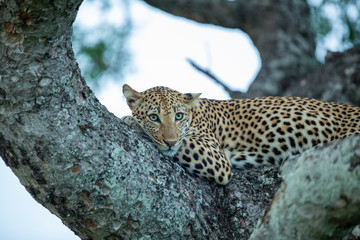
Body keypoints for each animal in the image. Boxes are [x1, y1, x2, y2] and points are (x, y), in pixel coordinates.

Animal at [121, 83, 360, 185]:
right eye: (154, 117)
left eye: (178, 116)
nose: (170, 142)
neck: (195, 115)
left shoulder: (216, 158)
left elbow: (184, 143)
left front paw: (132, 122)